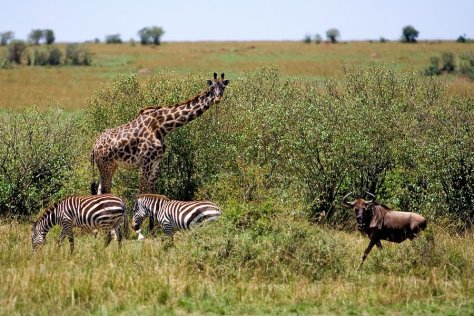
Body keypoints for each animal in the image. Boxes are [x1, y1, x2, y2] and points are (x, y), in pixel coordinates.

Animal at [90, 72, 230, 195]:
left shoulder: (156, 163)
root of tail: (94, 146)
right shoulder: (145, 162)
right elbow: (142, 193)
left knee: (100, 190)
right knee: (105, 190)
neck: (162, 127)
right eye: (212, 87)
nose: (217, 99)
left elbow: (152, 193)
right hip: (106, 165)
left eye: (223, 87)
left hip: (109, 166)